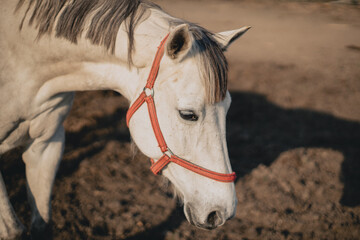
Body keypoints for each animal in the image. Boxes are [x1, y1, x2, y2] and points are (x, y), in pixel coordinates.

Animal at [0, 0, 249, 238]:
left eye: (227, 108)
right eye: (188, 115)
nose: (222, 212)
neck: (25, 63)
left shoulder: (47, 144)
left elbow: (42, 225)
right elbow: (13, 230)